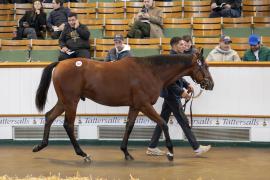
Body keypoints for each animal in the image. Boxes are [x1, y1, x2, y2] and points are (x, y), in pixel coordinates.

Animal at [32, 47, 213, 162]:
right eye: (205, 66)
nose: (211, 84)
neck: (151, 71)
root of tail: (60, 63)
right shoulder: (144, 105)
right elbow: (163, 123)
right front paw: (170, 153)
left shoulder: (135, 106)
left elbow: (129, 126)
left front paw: (126, 152)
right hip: (71, 102)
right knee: (68, 125)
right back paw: (83, 154)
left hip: (64, 101)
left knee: (49, 116)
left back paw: (40, 146)